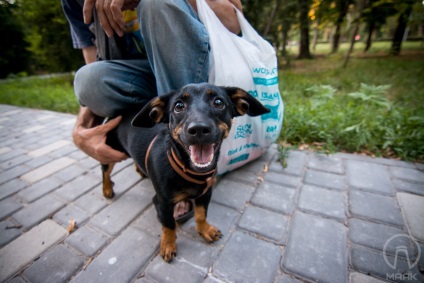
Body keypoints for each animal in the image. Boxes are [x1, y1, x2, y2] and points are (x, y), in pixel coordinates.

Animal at [101, 83, 270, 262]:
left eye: (218, 102)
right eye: (178, 106)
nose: (199, 129)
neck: (190, 171)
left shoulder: (205, 194)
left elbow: (201, 215)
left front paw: (205, 230)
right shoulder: (162, 203)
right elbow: (168, 225)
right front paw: (168, 245)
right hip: (110, 150)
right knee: (105, 171)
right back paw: (107, 189)